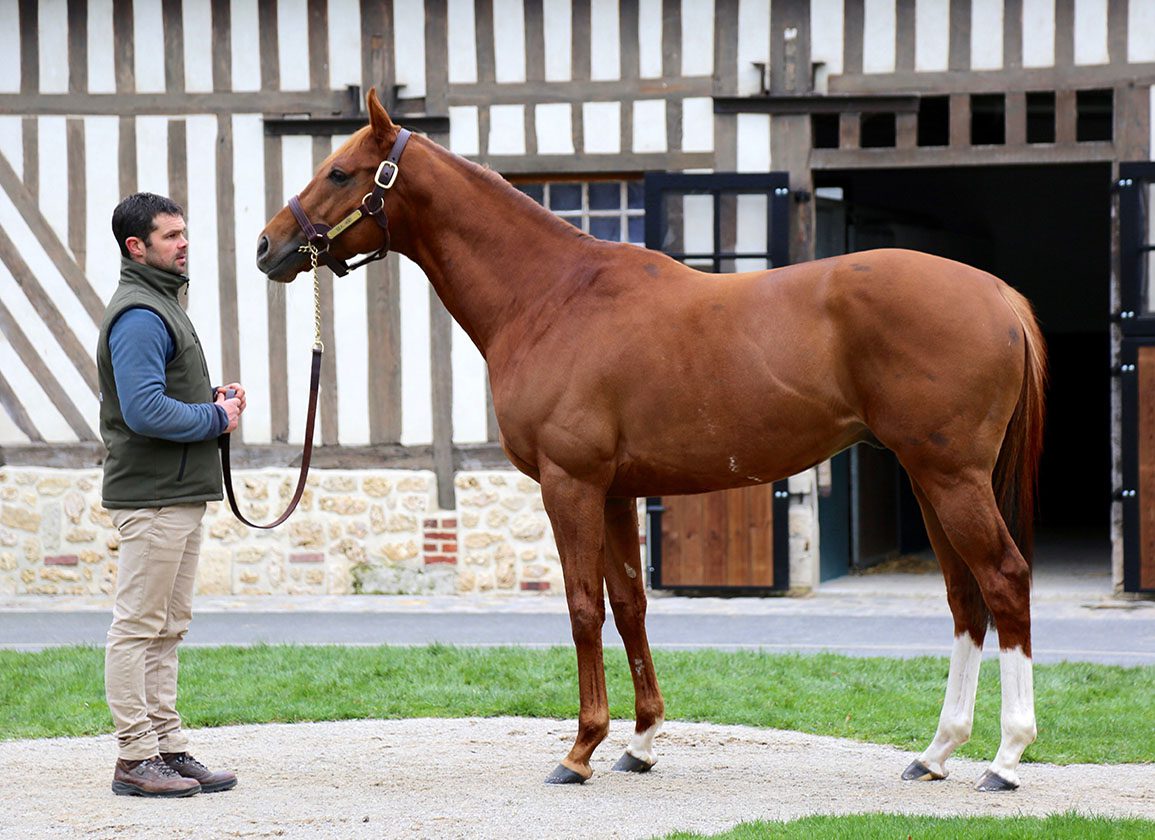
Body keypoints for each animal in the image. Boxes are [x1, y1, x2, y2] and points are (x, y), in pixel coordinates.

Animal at [257, 88, 1046, 792]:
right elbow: (630, 604)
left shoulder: (569, 484)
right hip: (928, 478)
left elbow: (583, 607)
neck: (550, 297)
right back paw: (936, 753)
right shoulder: (614, 492)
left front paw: (580, 749)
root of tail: (996, 294)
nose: (268, 246)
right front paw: (639, 743)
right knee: (964, 598)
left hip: (952, 478)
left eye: (340, 172)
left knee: (1003, 580)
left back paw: (1006, 759)